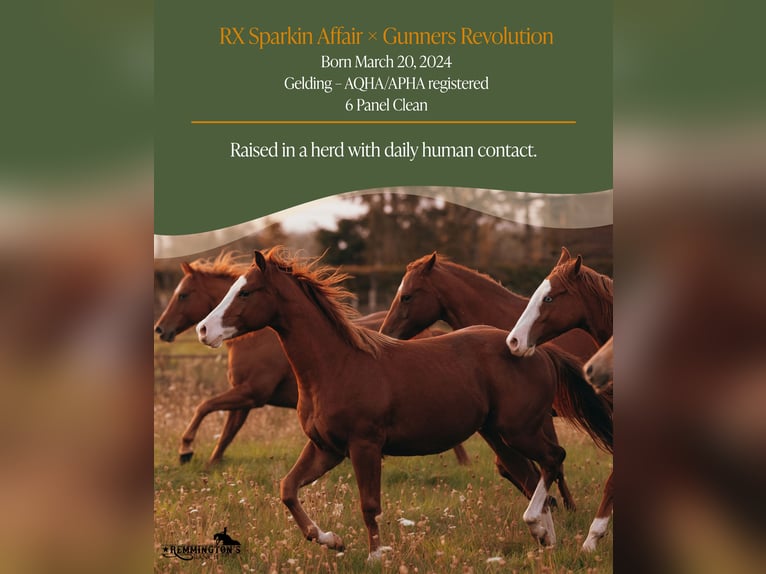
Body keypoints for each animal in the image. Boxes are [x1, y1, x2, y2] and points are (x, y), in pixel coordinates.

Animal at [154, 253, 470, 466]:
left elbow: (204, 407)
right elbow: (226, 433)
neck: (260, 337)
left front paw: (186, 450)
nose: (160, 329)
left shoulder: (251, 393)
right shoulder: (245, 398)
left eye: (183, 295)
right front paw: (211, 462)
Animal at [379, 252, 605, 510]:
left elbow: (552, 465)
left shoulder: (538, 418)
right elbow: (510, 466)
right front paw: (553, 503)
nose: (385, 335)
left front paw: (566, 507)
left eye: (406, 296)